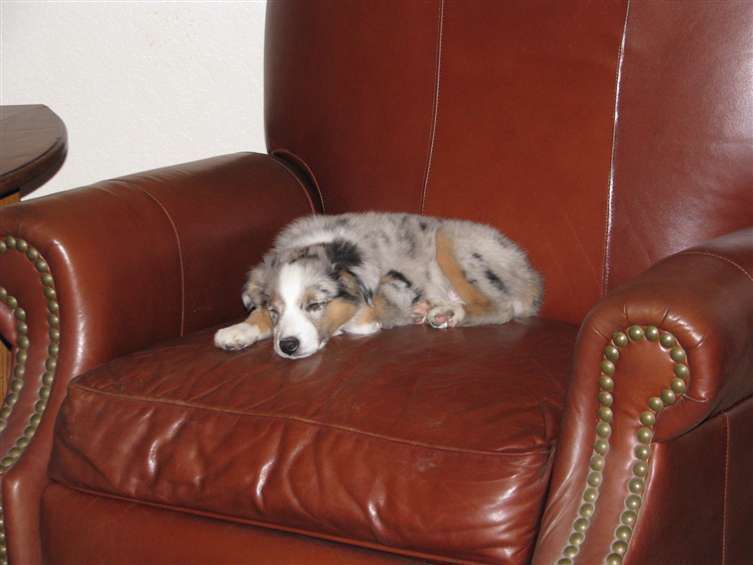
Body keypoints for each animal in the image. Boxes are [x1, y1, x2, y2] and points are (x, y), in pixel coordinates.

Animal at [214, 212, 543, 359]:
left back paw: (449, 313)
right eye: (274, 311)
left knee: (500, 307)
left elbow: (363, 312)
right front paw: (238, 330)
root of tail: (530, 276)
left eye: (316, 305)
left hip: (450, 239)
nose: (288, 346)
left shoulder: (396, 284)